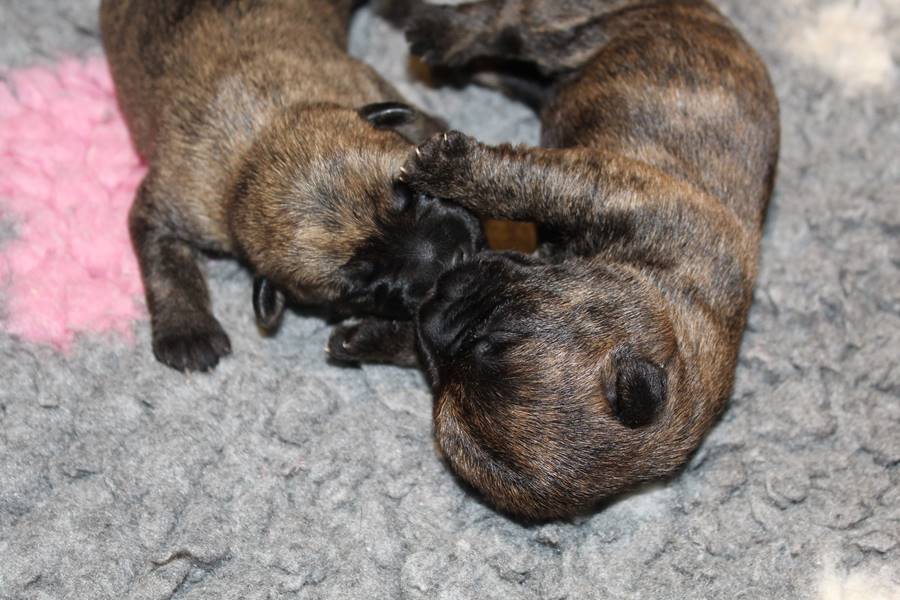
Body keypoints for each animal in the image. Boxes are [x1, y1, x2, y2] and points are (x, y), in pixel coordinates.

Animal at [100, 0, 484, 372]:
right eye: (362, 288)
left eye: (408, 193)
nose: (455, 258)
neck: (260, 138)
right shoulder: (170, 204)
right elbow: (165, 264)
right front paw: (187, 331)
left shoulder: (365, 83)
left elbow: (423, 127)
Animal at [345, 0, 779, 518]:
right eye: (500, 339)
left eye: (442, 377)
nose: (433, 306)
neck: (672, 303)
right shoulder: (604, 189)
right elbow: (525, 183)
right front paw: (450, 169)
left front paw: (370, 336)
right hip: (568, 24)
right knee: (506, 25)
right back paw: (435, 32)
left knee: (509, 47)